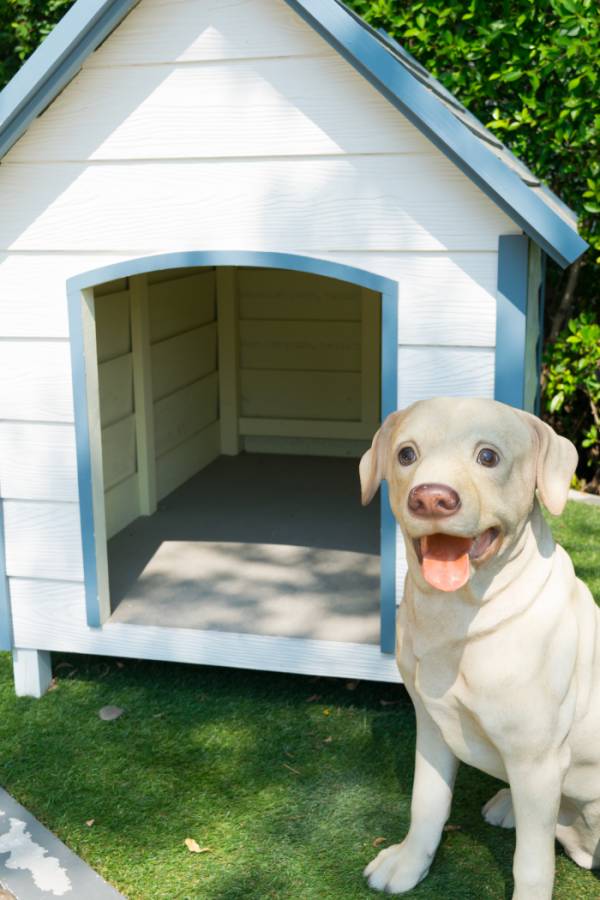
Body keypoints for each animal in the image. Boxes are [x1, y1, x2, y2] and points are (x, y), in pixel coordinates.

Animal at [358, 400, 596, 900]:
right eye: (406, 454)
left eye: (488, 456)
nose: (431, 499)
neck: (461, 616)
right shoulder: (431, 726)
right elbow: (426, 804)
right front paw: (409, 863)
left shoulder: (537, 759)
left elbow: (532, 862)